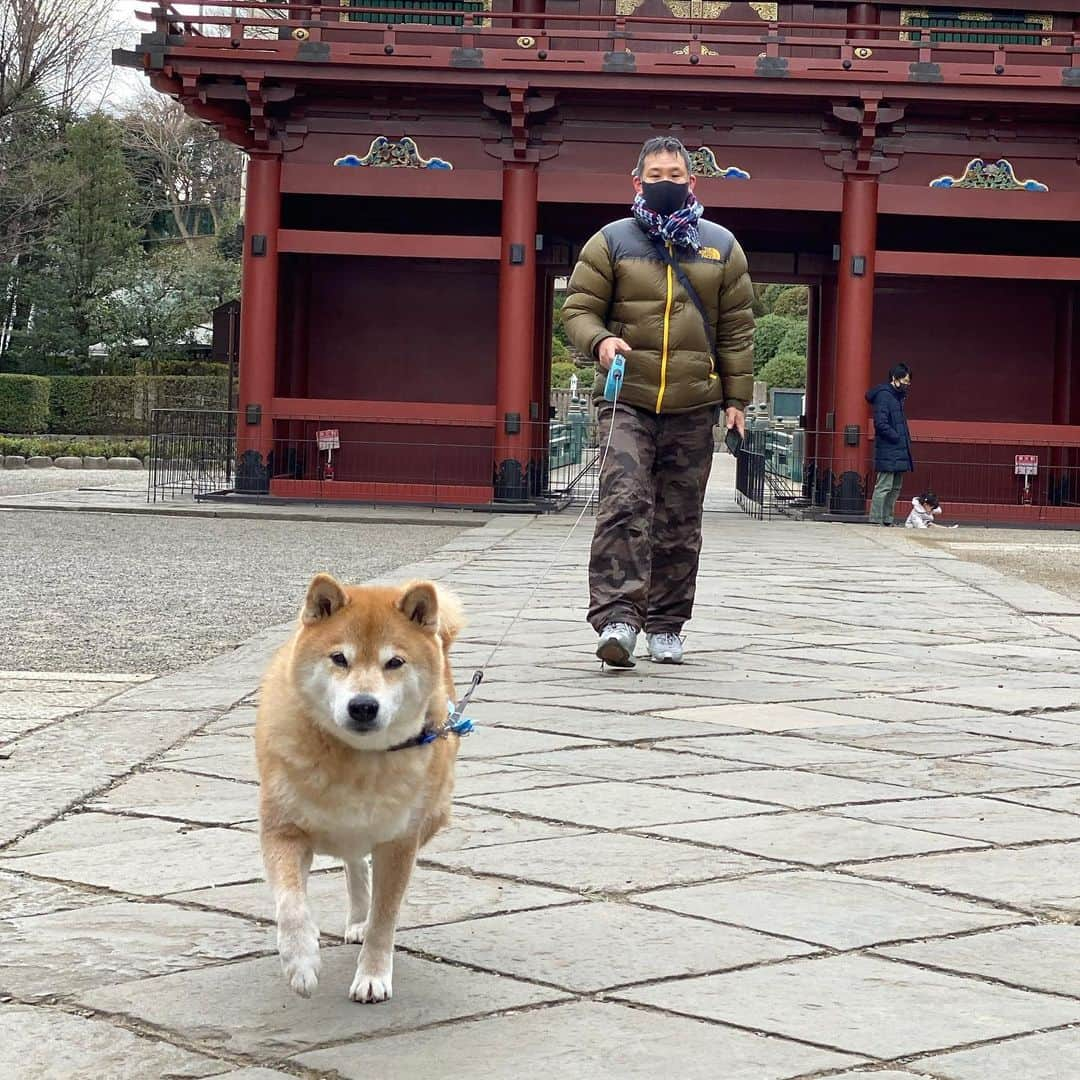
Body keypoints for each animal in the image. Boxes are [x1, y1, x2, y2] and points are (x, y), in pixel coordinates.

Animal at [259, 574, 466, 1002]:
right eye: (339, 658)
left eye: (395, 662)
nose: (363, 706)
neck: (355, 758)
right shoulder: (282, 829)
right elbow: (291, 903)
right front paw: (301, 961)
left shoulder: (399, 842)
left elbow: (385, 918)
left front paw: (372, 974)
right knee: (353, 863)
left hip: (431, 815)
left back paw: (361, 922)